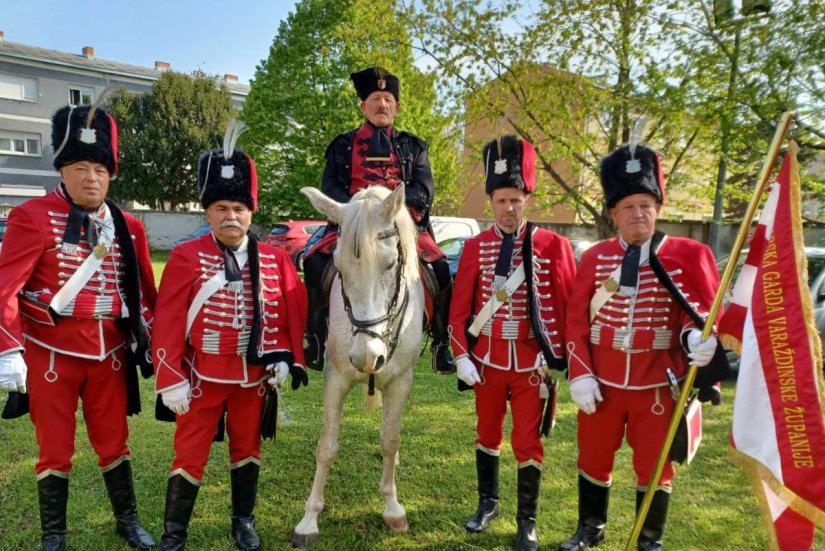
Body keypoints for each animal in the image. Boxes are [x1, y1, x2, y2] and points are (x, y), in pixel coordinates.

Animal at [292, 184, 424, 548]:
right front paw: (309, 519)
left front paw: (393, 508)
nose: (367, 356)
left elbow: (391, 439)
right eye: (339, 266)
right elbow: (326, 448)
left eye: (392, 263)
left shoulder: (401, 381)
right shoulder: (335, 378)